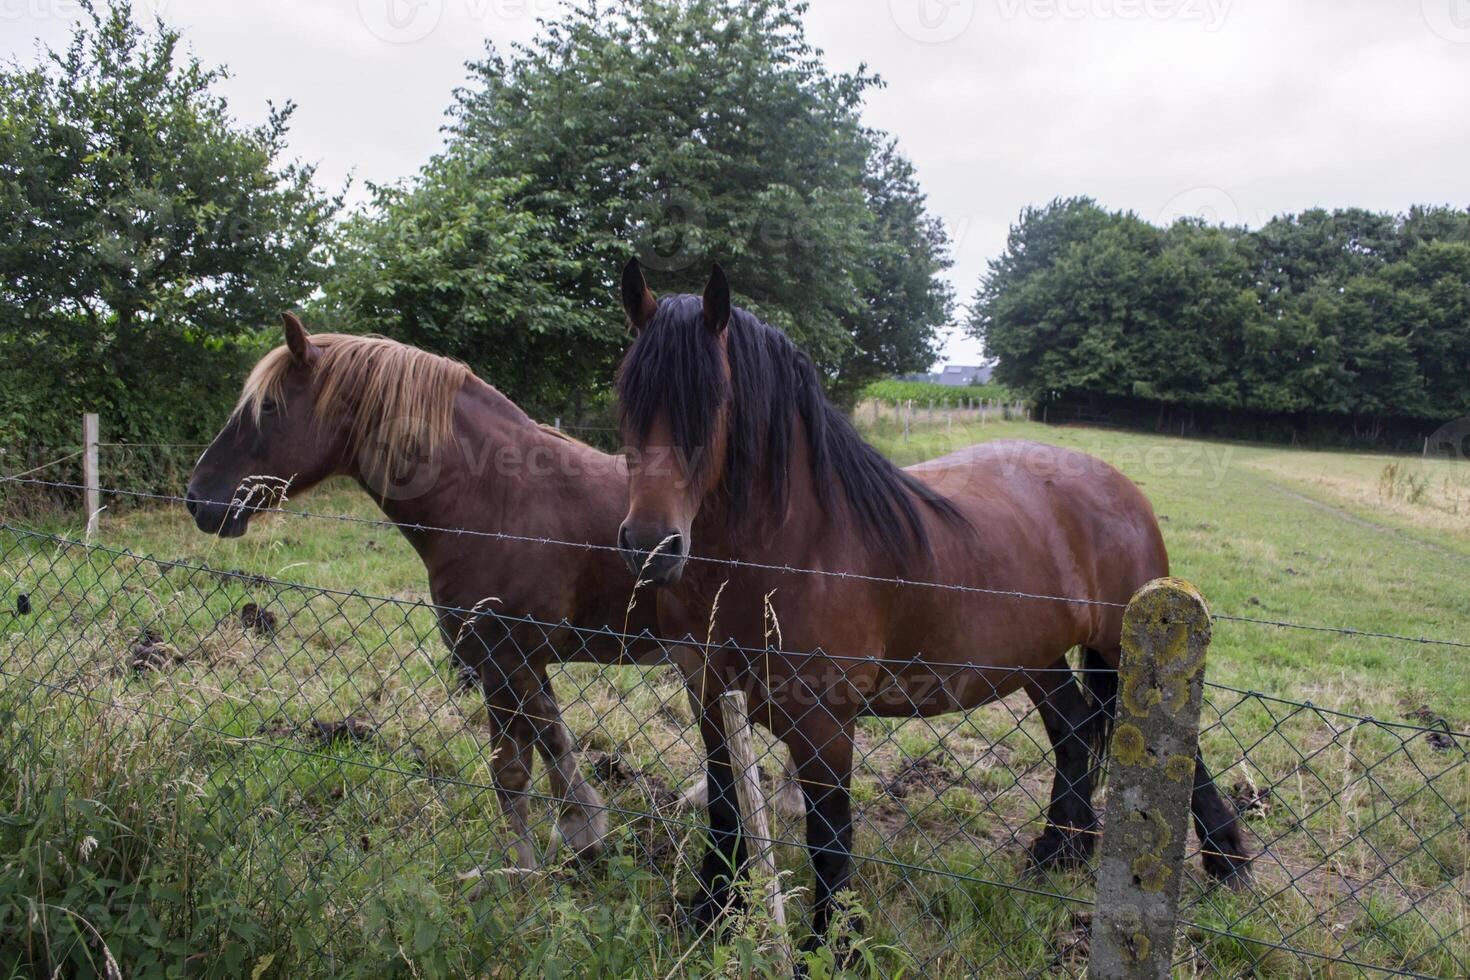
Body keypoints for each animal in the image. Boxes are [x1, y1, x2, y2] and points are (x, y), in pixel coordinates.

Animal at [185, 314, 655, 875]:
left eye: (271, 406)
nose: (197, 499)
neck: (502, 499)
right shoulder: (523, 662)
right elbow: (551, 743)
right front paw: (579, 834)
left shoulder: (503, 659)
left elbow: (513, 770)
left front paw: (519, 868)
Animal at [611, 260, 1252, 952]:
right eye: (628, 396)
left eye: (714, 405)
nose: (651, 547)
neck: (786, 552)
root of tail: (1124, 488)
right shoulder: (709, 700)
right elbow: (726, 811)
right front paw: (709, 912)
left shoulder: (825, 722)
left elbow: (829, 836)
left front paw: (830, 945)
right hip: (1037, 657)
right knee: (1075, 732)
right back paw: (1058, 853)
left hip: (1126, 652)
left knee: (1175, 750)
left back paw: (1227, 864)